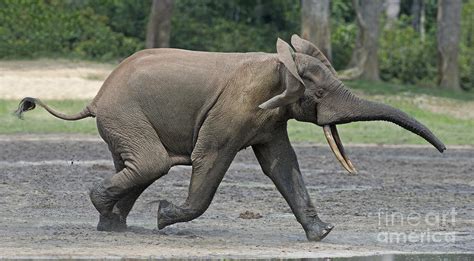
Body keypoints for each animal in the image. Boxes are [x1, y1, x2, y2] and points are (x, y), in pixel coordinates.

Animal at [14, 34, 444, 240]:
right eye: (319, 94)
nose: (442, 149)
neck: (281, 63)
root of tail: (96, 96)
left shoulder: (270, 117)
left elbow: (281, 164)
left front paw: (323, 235)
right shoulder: (236, 108)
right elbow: (211, 159)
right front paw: (163, 216)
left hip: (124, 121)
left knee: (140, 165)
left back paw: (112, 226)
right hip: (125, 115)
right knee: (152, 163)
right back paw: (106, 211)